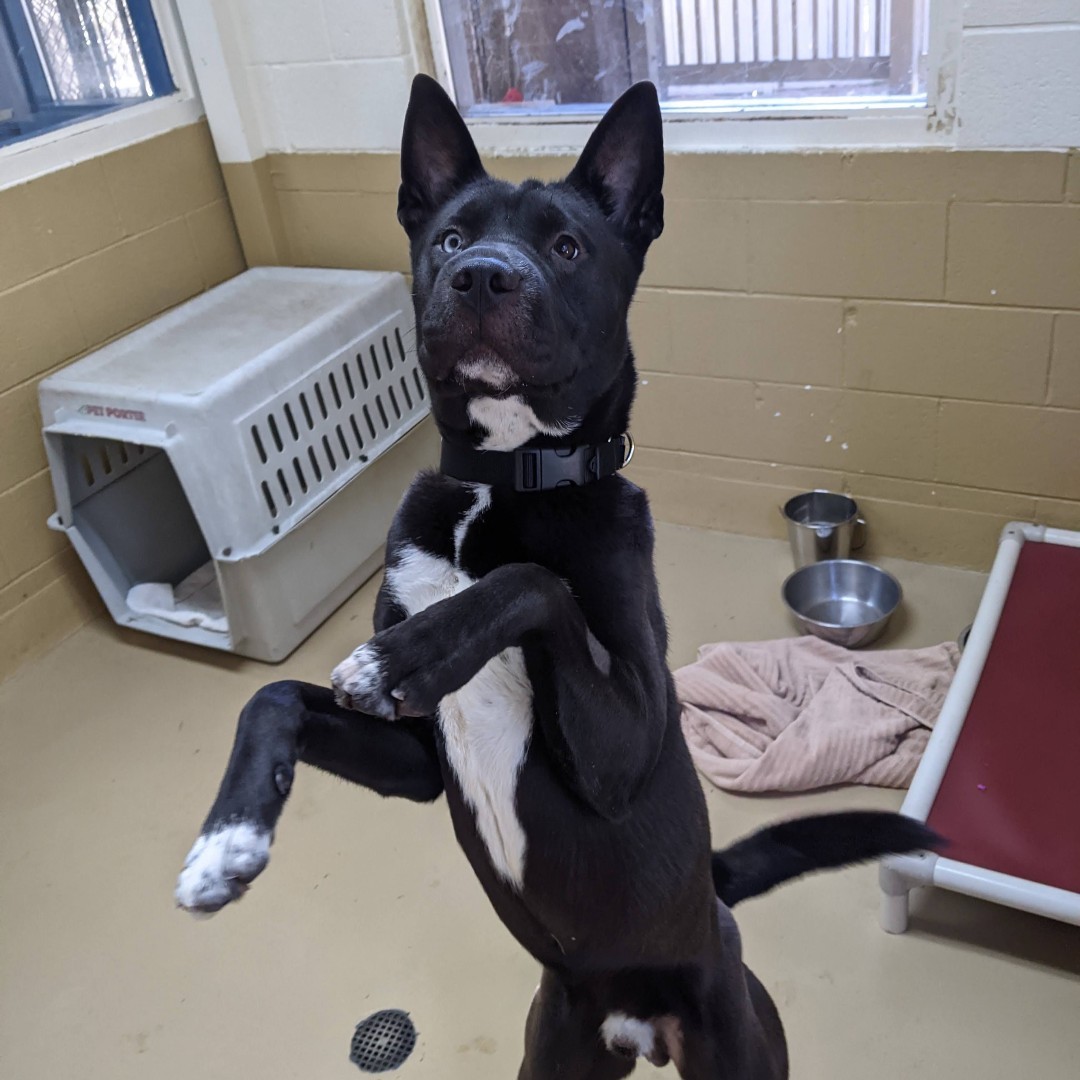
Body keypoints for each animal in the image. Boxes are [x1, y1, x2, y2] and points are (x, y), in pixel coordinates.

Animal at [177, 78, 937, 1080]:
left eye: (567, 246)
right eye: (451, 238)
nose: (481, 276)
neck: (503, 483)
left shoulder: (635, 740)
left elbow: (532, 583)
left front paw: (408, 653)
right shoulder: (420, 764)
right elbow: (271, 699)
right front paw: (226, 841)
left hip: (736, 1034)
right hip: (556, 1045)